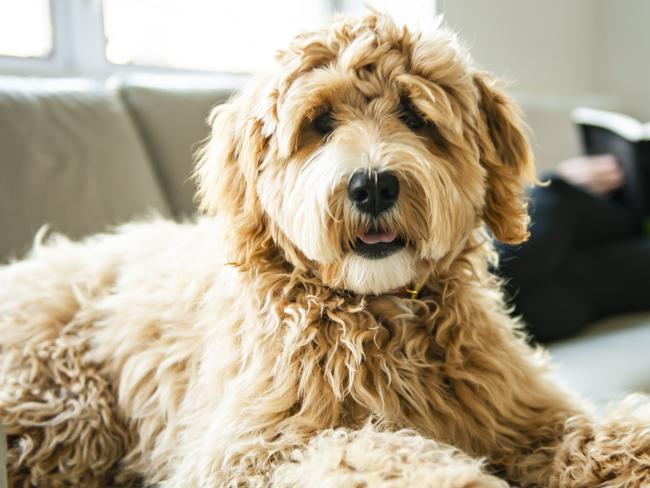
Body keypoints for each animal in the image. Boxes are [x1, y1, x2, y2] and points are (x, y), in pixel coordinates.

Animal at [1, 13, 648, 486]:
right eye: (320, 122)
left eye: (415, 116)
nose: (373, 185)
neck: (377, 315)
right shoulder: (249, 450)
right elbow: (360, 451)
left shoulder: (522, 414)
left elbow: (596, 435)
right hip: (61, 409)